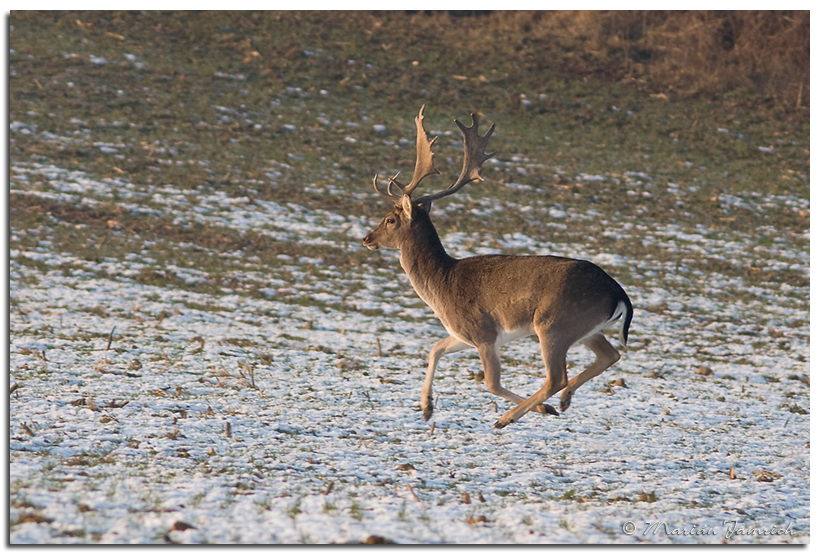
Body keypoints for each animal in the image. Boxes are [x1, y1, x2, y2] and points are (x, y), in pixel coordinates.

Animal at [362, 106, 632, 426]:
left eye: (390, 219)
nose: (367, 238)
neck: (442, 285)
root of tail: (619, 294)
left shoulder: (483, 332)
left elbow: (491, 382)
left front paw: (536, 410)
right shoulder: (462, 333)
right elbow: (435, 349)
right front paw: (426, 408)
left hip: (555, 325)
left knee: (557, 376)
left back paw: (511, 416)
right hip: (586, 328)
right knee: (609, 355)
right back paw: (564, 401)